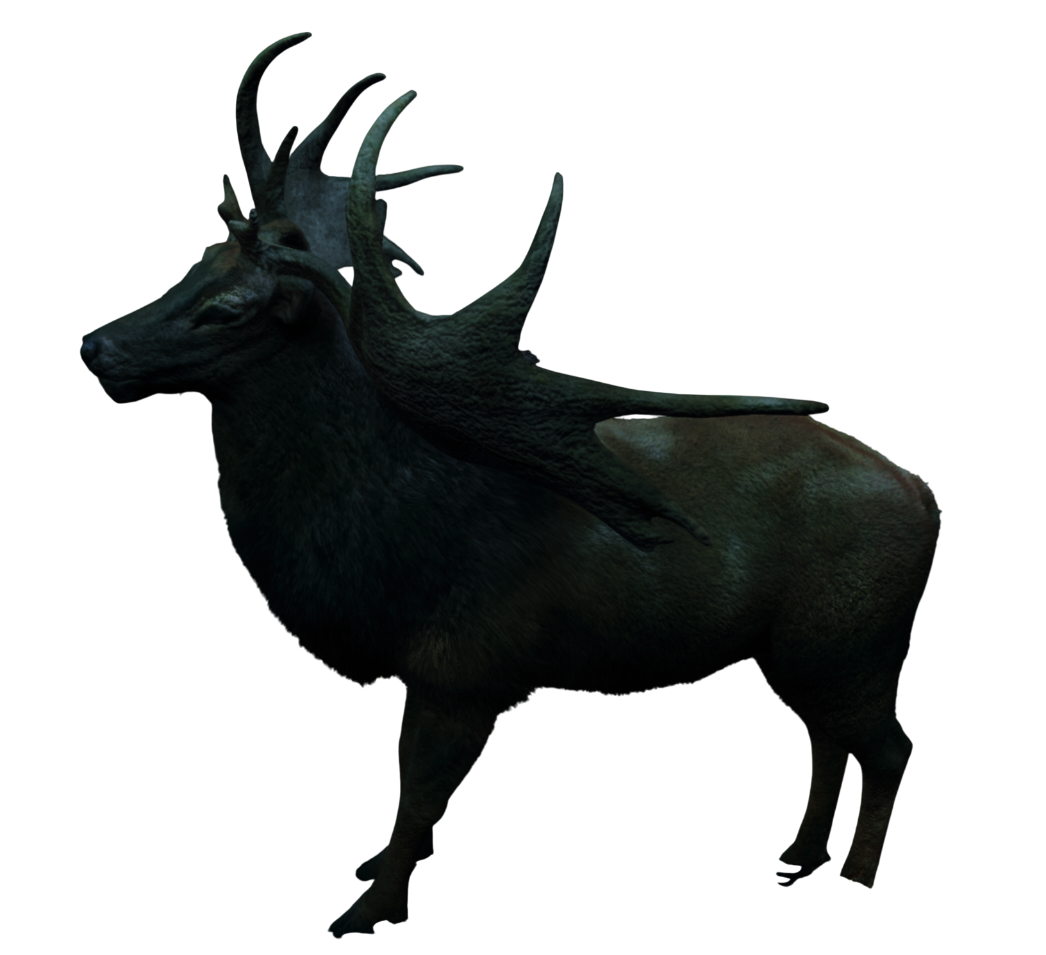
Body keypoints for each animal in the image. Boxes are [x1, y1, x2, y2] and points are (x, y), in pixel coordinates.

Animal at [79, 32, 941, 936]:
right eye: (193, 262)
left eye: (229, 308)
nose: (95, 346)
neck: (371, 540)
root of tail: (924, 491)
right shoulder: (429, 672)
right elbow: (406, 788)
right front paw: (375, 868)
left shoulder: (470, 668)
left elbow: (418, 796)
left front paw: (368, 908)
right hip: (801, 651)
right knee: (826, 738)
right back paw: (796, 858)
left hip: (856, 639)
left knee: (890, 747)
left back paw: (856, 876)